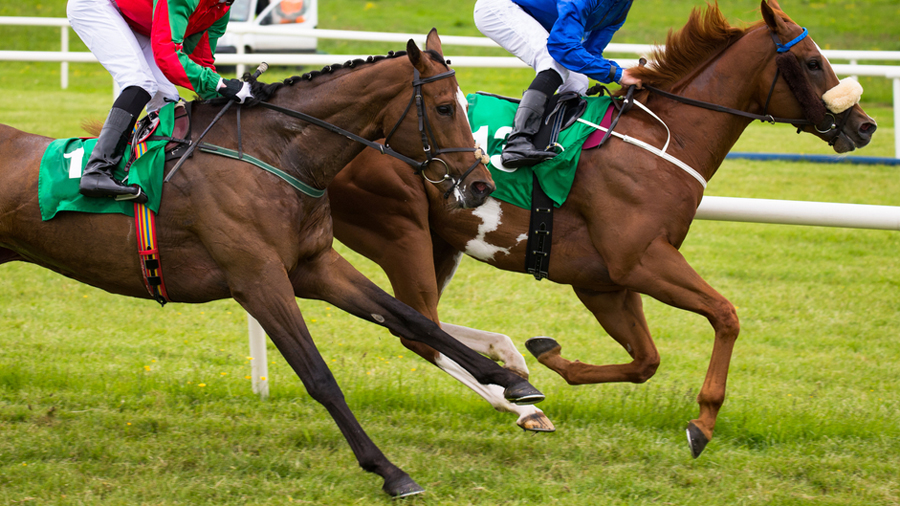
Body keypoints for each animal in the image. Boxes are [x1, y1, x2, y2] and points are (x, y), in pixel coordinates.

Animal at [0, 29, 548, 496]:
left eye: (462, 107)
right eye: (443, 107)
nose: (481, 186)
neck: (276, 155)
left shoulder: (315, 265)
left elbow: (412, 318)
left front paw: (514, 383)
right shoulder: (258, 279)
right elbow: (320, 376)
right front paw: (390, 471)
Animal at [326, 0, 876, 454]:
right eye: (811, 61)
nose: (865, 125)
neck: (661, 140)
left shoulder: (604, 282)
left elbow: (646, 361)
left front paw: (548, 355)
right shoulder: (639, 261)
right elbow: (725, 315)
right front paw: (702, 423)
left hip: (440, 241)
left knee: (423, 321)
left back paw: (515, 375)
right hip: (399, 230)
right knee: (418, 330)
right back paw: (517, 400)